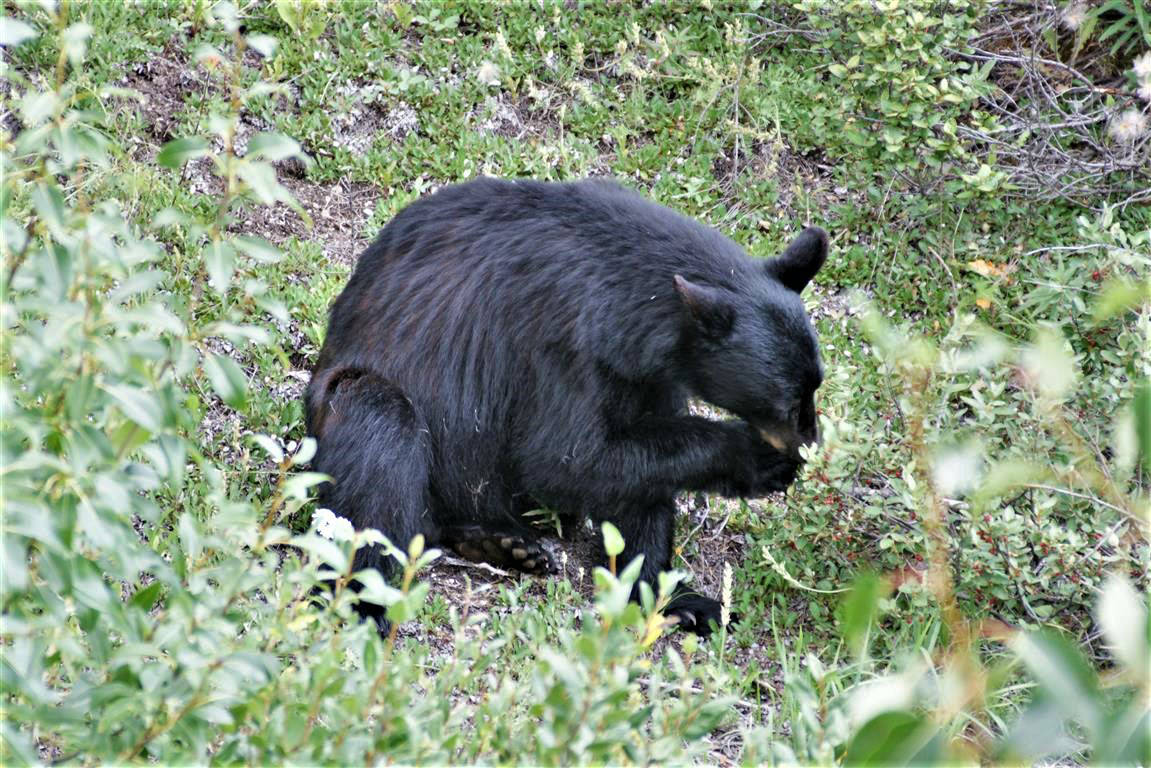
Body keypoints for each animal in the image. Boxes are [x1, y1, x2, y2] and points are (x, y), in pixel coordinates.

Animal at [306, 177, 828, 635]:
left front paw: (672, 596)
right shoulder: (560, 342)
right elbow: (564, 457)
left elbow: (642, 470)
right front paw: (753, 458)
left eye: (815, 386)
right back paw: (366, 601)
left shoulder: (645, 373)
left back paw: (503, 544)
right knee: (380, 438)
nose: (811, 445)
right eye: (787, 402)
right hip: (349, 404)